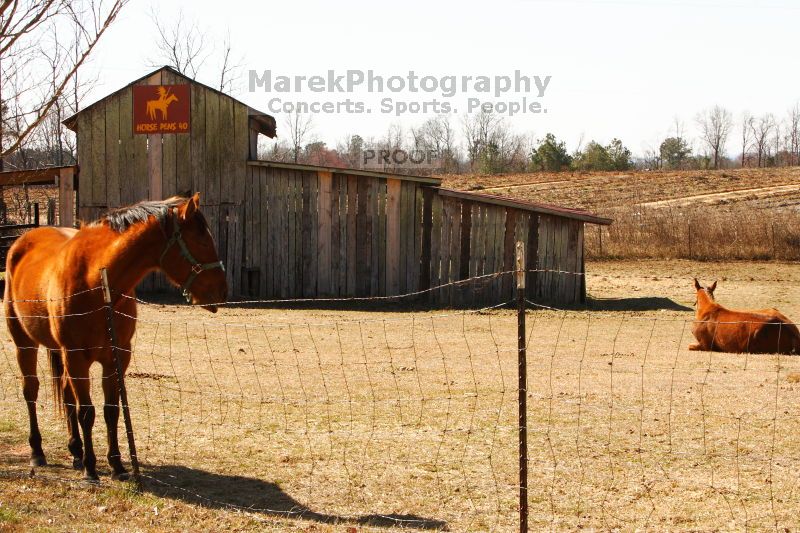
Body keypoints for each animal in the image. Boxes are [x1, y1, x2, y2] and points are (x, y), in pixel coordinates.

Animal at [5, 193, 225, 480]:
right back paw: (38, 452)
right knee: (31, 391)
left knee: (66, 394)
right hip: (25, 344)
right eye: (201, 240)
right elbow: (87, 412)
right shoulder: (77, 357)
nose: (222, 290)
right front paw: (91, 469)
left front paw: (117, 465)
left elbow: (111, 411)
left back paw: (76, 451)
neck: (97, 282)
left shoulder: (116, 357)